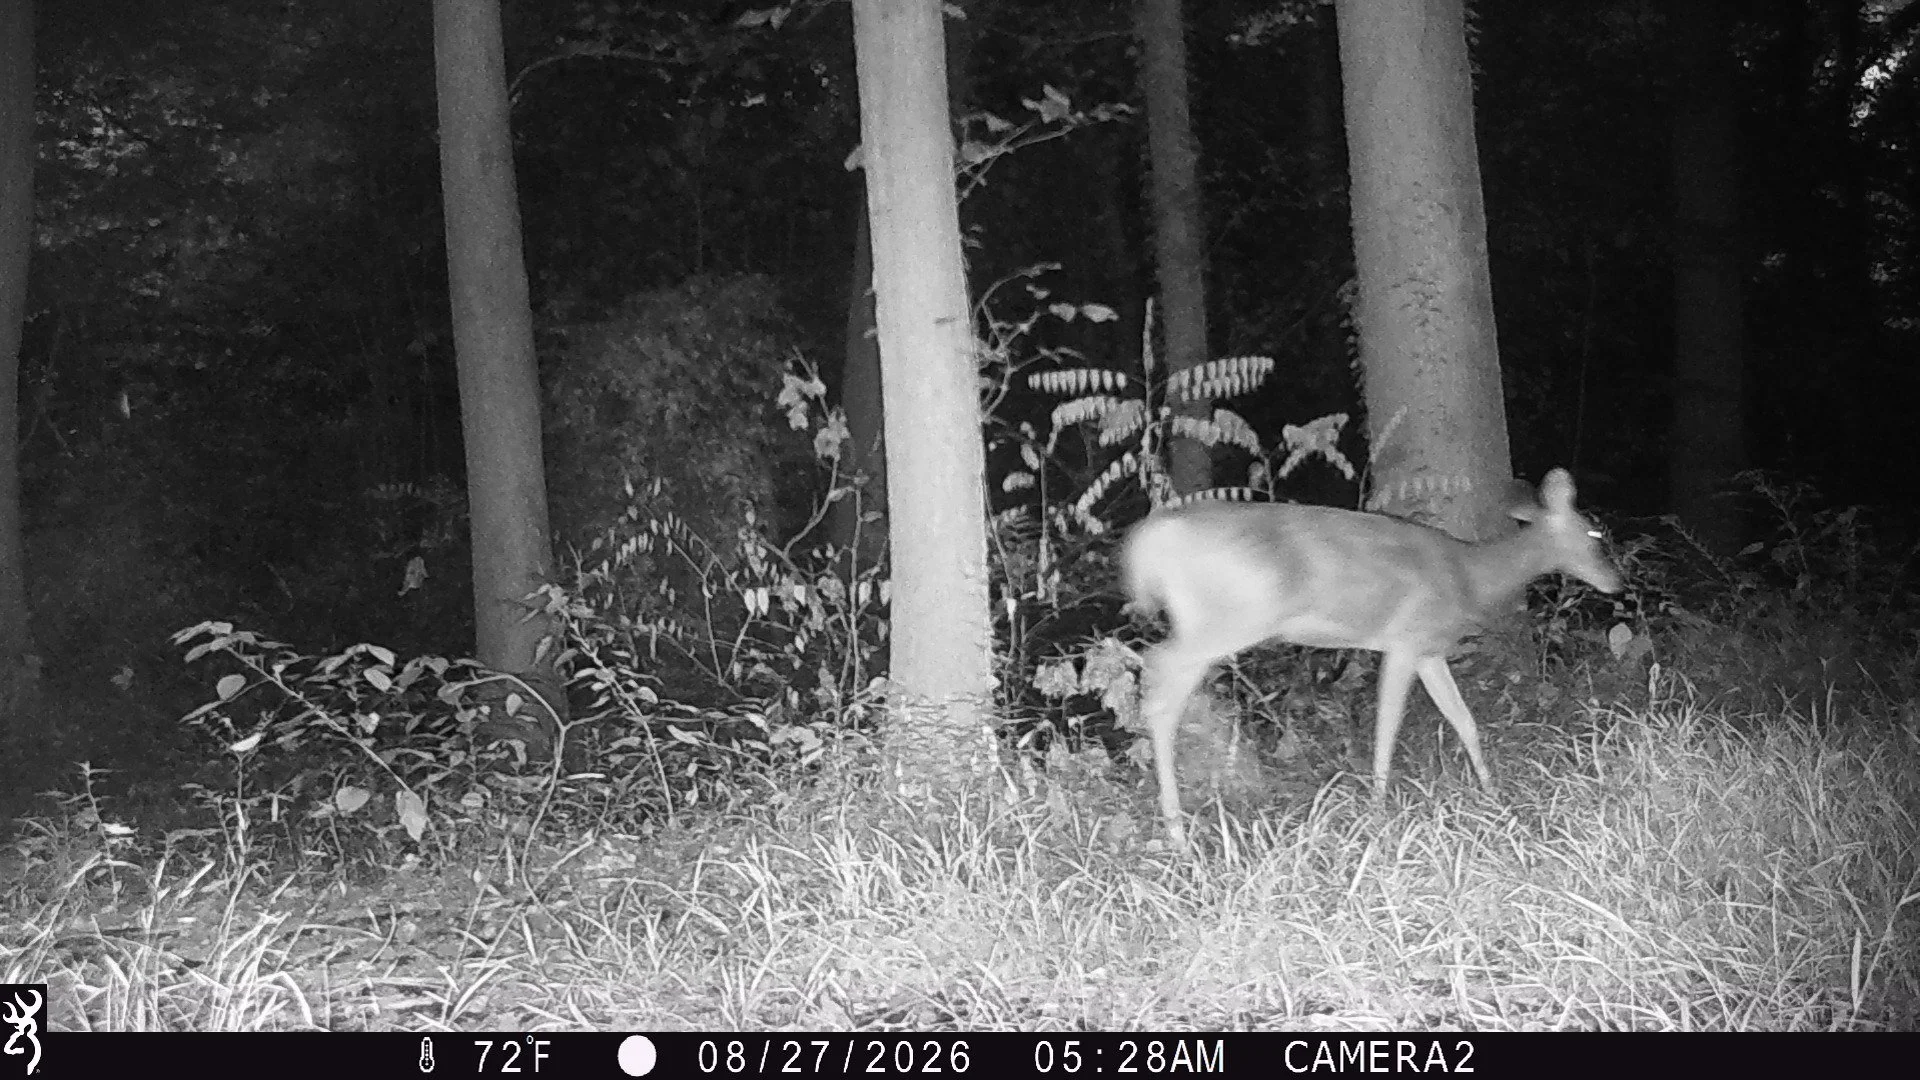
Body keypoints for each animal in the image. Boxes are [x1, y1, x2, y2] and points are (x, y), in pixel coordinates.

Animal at [1123, 468, 1621, 849]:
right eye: (1594, 532)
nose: (1617, 582)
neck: (1470, 577)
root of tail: (1152, 538)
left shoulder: (1429, 651)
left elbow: (1464, 720)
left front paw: (1491, 791)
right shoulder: (1404, 641)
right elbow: (1388, 727)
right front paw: (1379, 810)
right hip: (1230, 617)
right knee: (1158, 669)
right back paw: (1176, 833)